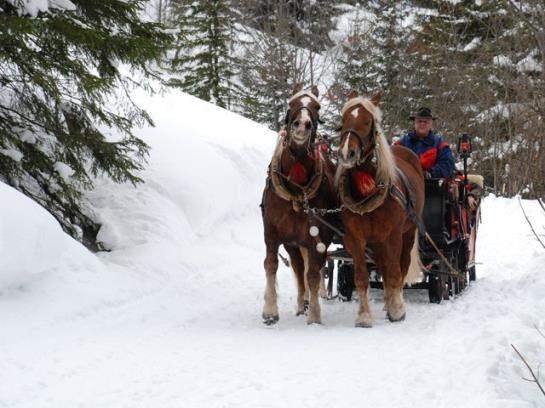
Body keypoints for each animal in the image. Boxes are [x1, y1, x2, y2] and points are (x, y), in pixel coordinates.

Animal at [260, 83, 340, 326]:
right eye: (291, 103)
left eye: (317, 106)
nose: (302, 124)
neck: (296, 189)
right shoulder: (273, 233)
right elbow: (271, 265)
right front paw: (270, 311)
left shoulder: (318, 238)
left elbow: (313, 274)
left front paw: (314, 315)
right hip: (293, 243)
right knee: (298, 268)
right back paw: (300, 302)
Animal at [336, 92, 424, 328]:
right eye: (343, 120)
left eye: (367, 121)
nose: (347, 153)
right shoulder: (356, 238)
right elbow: (361, 277)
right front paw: (364, 316)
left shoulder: (393, 236)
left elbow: (395, 273)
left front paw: (397, 311)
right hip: (376, 242)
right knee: (383, 267)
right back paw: (387, 301)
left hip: (408, 233)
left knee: (401, 266)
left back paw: (395, 302)